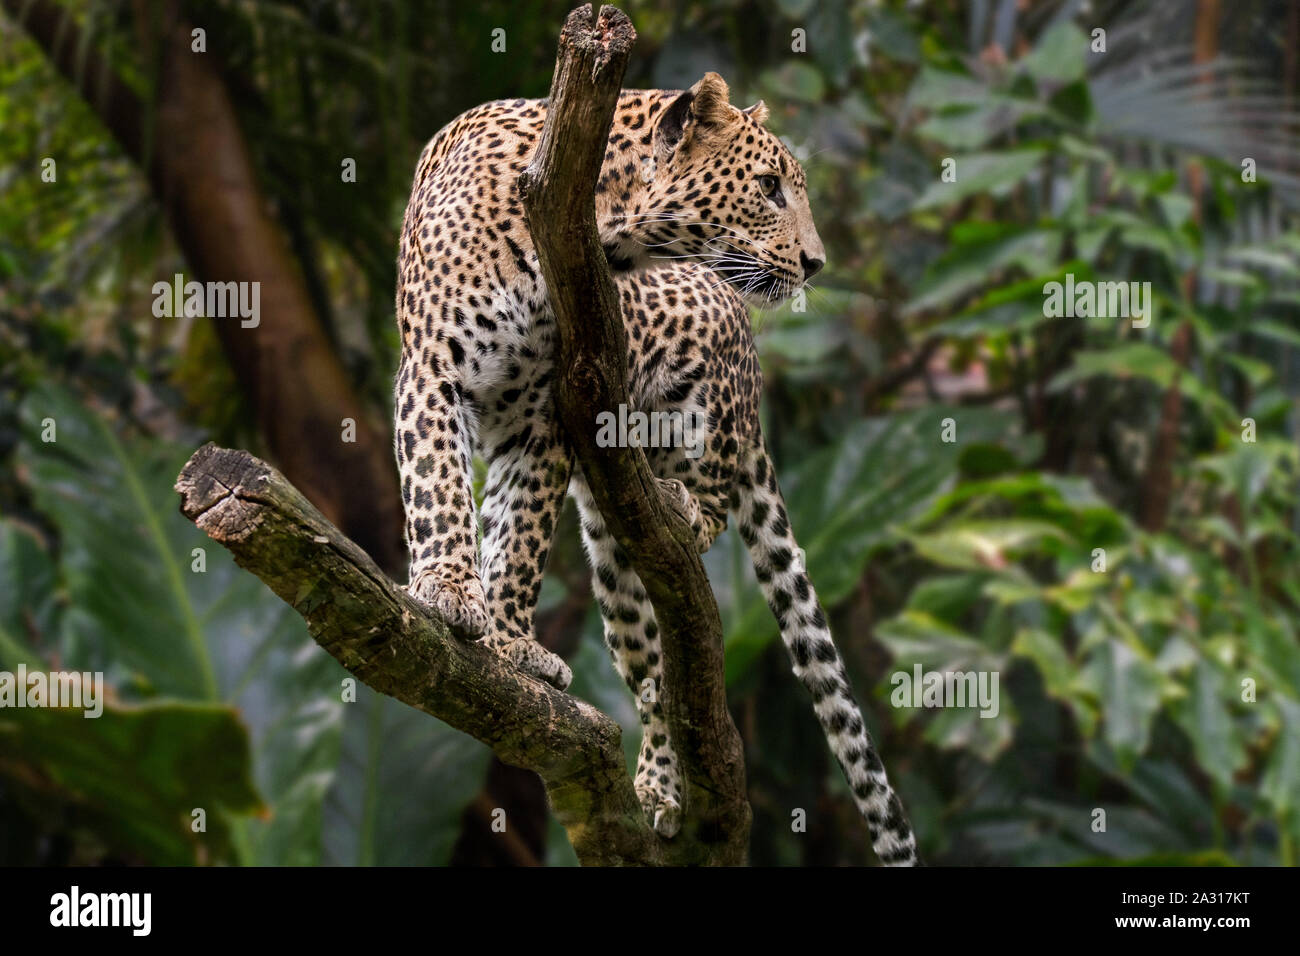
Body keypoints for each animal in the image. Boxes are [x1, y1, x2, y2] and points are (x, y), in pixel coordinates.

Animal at [392, 72, 915, 868]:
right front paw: (452, 591)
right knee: (651, 670)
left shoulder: (545, 417)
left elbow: (520, 539)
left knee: (706, 526)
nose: (817, 263)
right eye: (769, 187)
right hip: (615, 558)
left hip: (702, 394)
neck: (601, 222)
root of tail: (755, 380)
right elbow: (440, 490)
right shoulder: (432, 370)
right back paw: (660, 785)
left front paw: (511, 640)